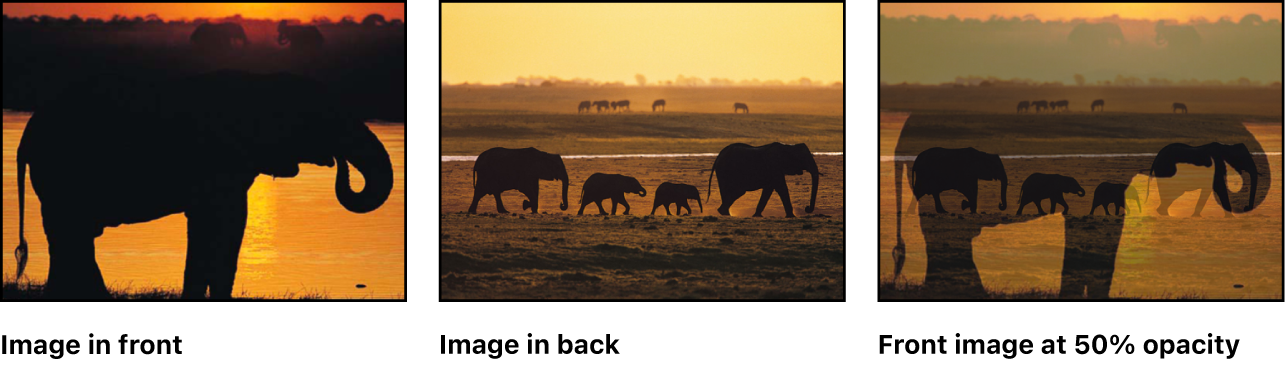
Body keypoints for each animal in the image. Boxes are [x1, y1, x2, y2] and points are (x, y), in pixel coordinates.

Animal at [11, 70, 391, 299]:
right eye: (326, 117)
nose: (340, 162)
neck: (258, 82)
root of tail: (27, 135)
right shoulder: (220, 166)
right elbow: (225, 226)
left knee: (71, 238)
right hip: (60, 174)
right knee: (71, 236)